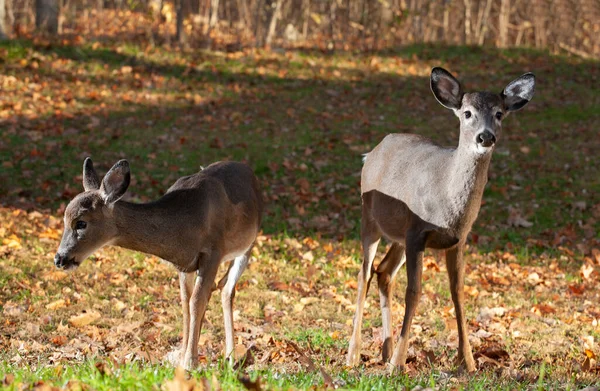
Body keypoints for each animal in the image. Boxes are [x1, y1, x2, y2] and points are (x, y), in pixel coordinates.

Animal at [54, 157, 262, 370]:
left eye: (81, 223)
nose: (60, 259)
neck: (186, 224)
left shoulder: (213, 252)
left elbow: (196, 301)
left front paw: (190, 362)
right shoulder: (185, 264)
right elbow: (186, 302)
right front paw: (181, 357)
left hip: (248, 245)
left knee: (227, 292)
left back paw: (231, 357)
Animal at [344, 67, 536, 374]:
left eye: (499, 113)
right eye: (467, 113)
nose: (485, 137)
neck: (448, 201)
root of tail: (371, 152)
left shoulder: (458, 240)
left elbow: (458, 292)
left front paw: (468, 361)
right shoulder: (417, 234)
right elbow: (414, 291)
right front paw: (398, 364)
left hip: (398, 235)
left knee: (384, 272)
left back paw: (385, 351)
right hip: (369, 219)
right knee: (364, 274)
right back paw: (354, 354)